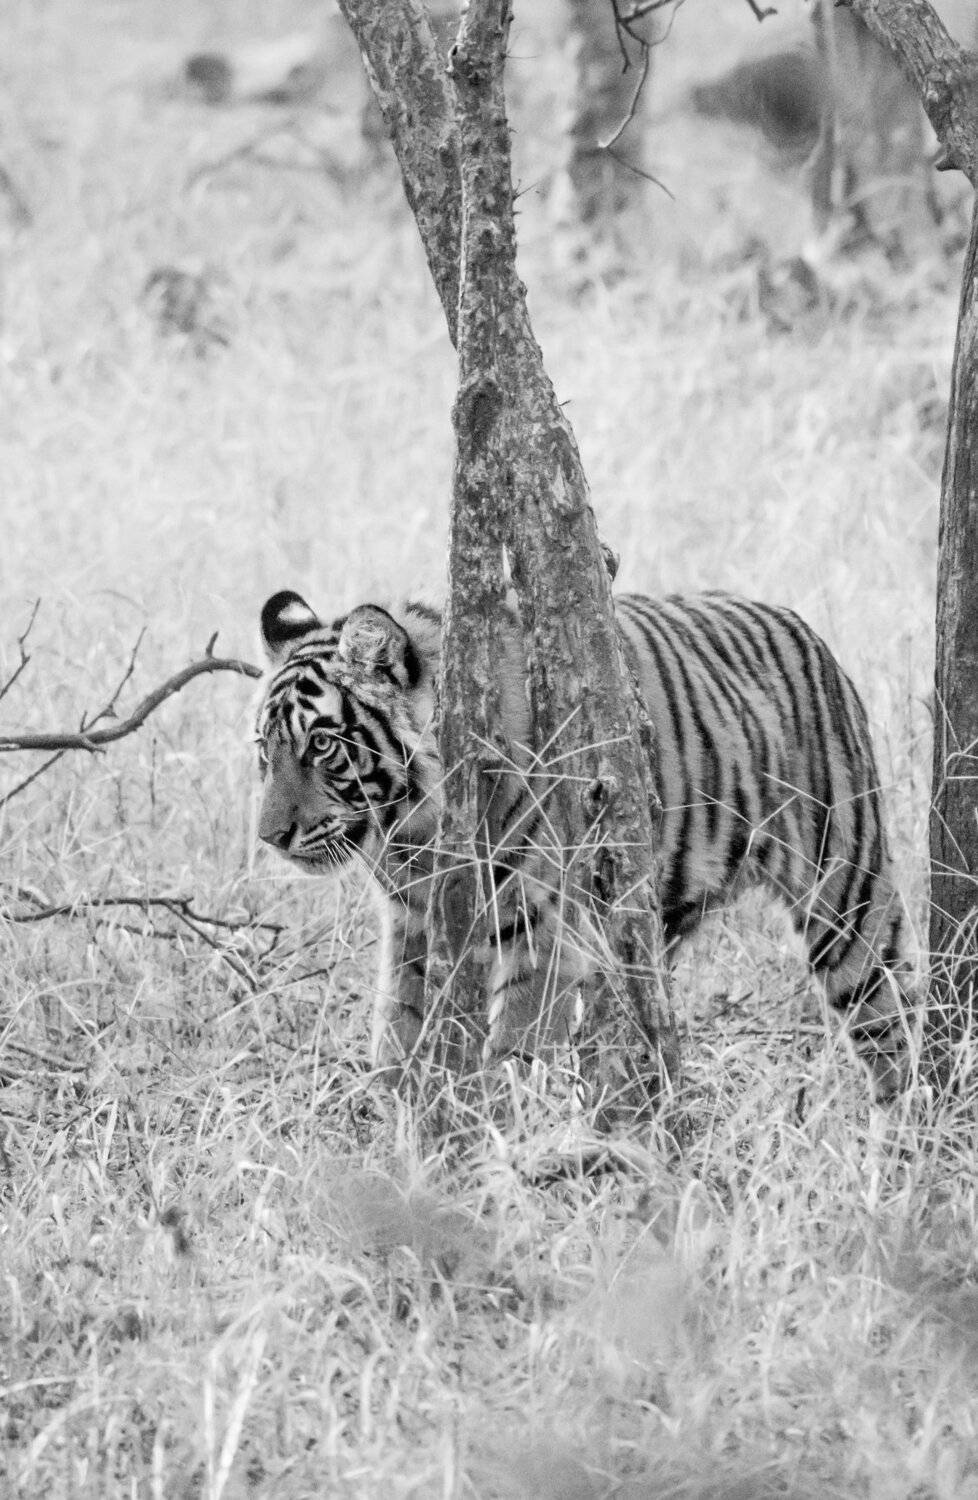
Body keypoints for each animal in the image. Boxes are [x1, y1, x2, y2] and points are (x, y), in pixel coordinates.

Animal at [255, 587, 914, 1100]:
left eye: (321, 744)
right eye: (265, 746)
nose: (269, 837)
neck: (411, 829)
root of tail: (803, 627)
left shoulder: (538, 929)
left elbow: (512, 1047)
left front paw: (495, 1139)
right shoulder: (412, 922)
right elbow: (398, 1026)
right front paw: (394, 1127)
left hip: (845, 899)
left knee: (895, 1029)